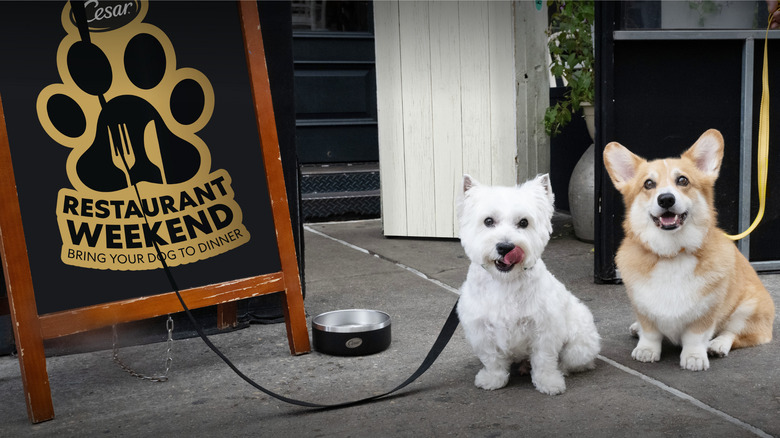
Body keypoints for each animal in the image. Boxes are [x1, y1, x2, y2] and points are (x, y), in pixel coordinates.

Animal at [458, 175, 604, 396]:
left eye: (524, 222)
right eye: (488, 221)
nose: (505, 247)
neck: (505, 281)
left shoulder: (545, 328)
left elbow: (544, 359)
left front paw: (549, 382)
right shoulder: (481, 329)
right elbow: (492, 359)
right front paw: (493, 379)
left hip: (579, 344)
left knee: (573, 361)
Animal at [604, 129, 772, 370]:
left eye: (682, 180)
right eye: (648, 184)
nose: (666, 199)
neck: (672, 253)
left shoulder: (706, 311)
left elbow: (696, 336)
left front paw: (694, 357)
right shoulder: (642, 306)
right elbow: (650, 332)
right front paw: (646, 350)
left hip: (749, 308)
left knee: (735, 333)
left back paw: (717, 345)